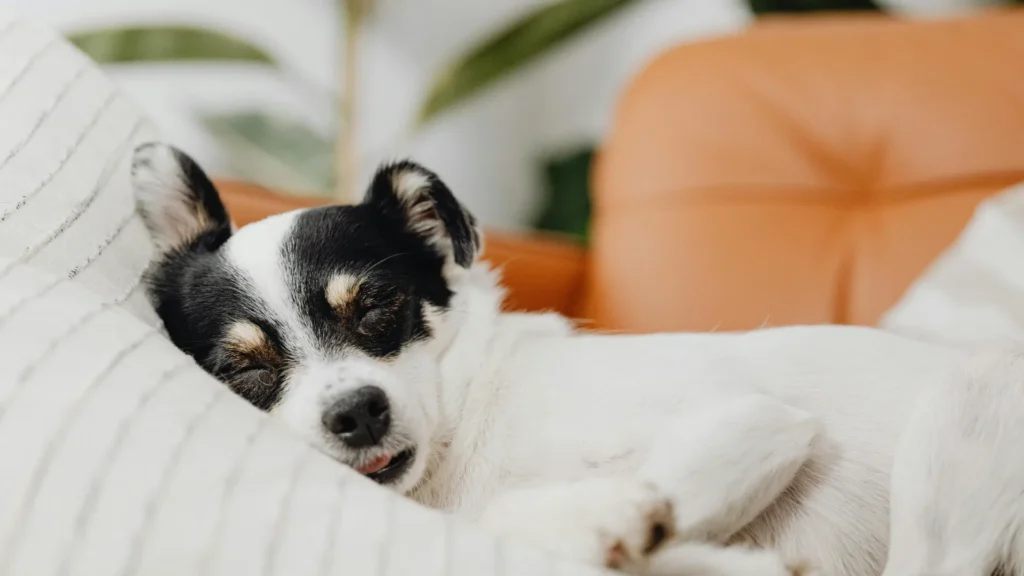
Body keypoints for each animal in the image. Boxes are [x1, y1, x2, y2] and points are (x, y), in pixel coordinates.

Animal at [130, 140, 1024, 573]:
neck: (468, 435)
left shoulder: (758, 421)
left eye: (378, 306)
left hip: (970, 390)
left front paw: (612, 520)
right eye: (243, 365)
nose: (357, 413)